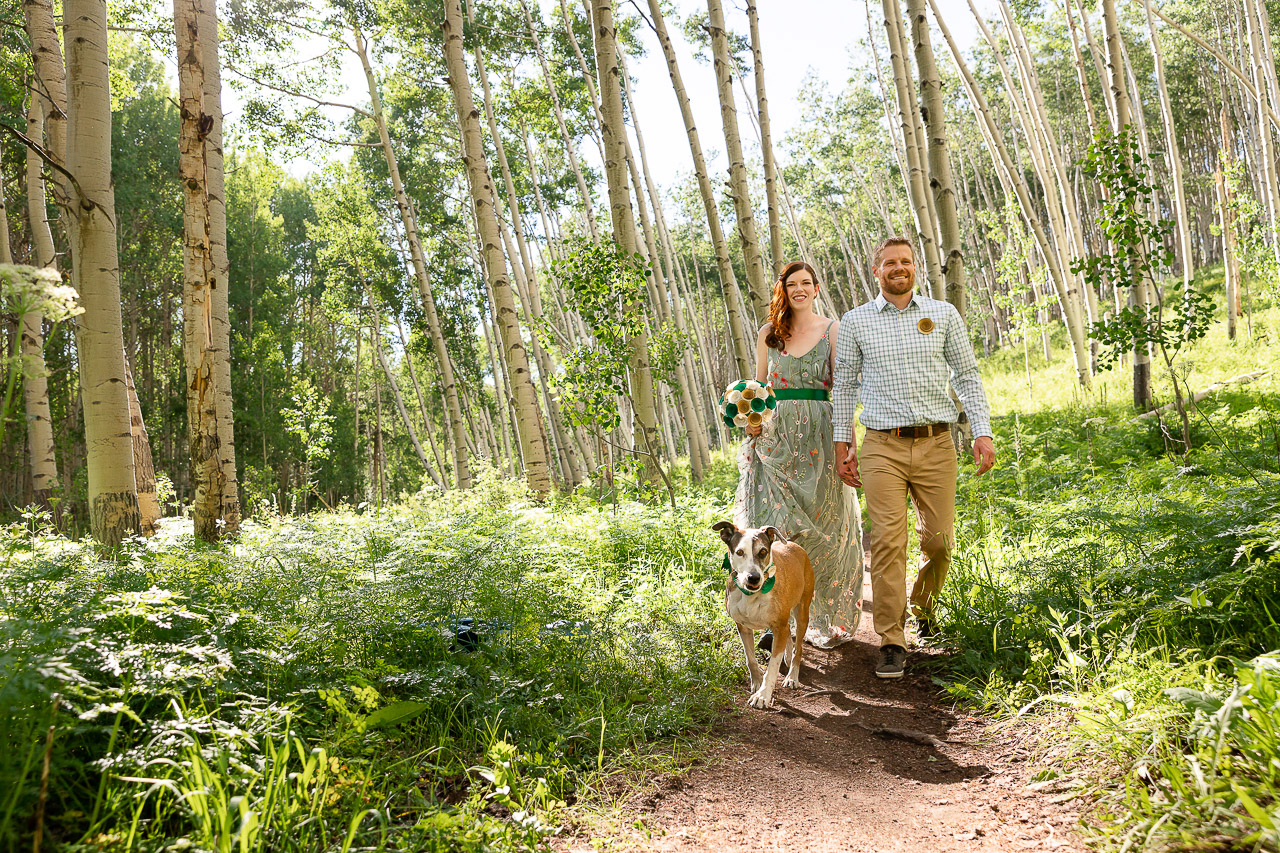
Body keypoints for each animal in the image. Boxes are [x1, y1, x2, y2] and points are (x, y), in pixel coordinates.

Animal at [716, 522, 814, 706]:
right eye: (740, 552)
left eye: (762, 552)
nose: (753, 577)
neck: (751, 594)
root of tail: (792, 544)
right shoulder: (743, 627)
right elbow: (750, 659)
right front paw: (757, 682)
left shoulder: (779, 626)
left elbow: (772, 667)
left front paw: (763, 695)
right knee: (788, 632)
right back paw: (787, 656)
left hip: (802, 611)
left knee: (798, 647)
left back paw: (792, 676)